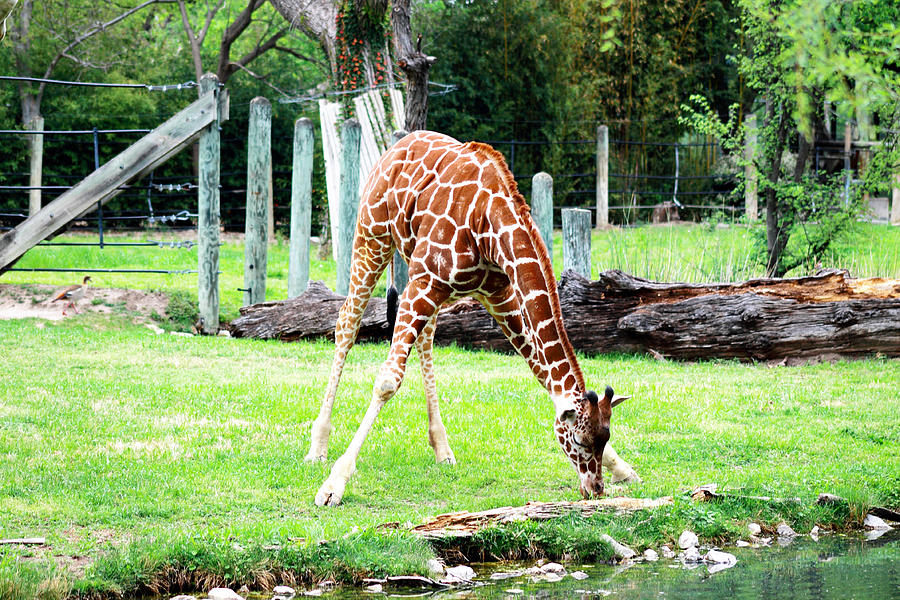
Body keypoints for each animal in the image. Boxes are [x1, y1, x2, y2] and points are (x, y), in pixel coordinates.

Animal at [310, 131, 640, 506]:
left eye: (605, 436)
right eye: (580, 440)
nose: (594, 489)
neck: (489, 226)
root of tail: (396, 146)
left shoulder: (498, 295)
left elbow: (541, 372)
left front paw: (623, 468)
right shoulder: (426, 281)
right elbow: (387, 382)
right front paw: (333, 485)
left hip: (423, 280)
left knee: (425, 339)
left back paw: (442, 448)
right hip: (373, 239)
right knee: (347, 323)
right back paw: (317, 446)